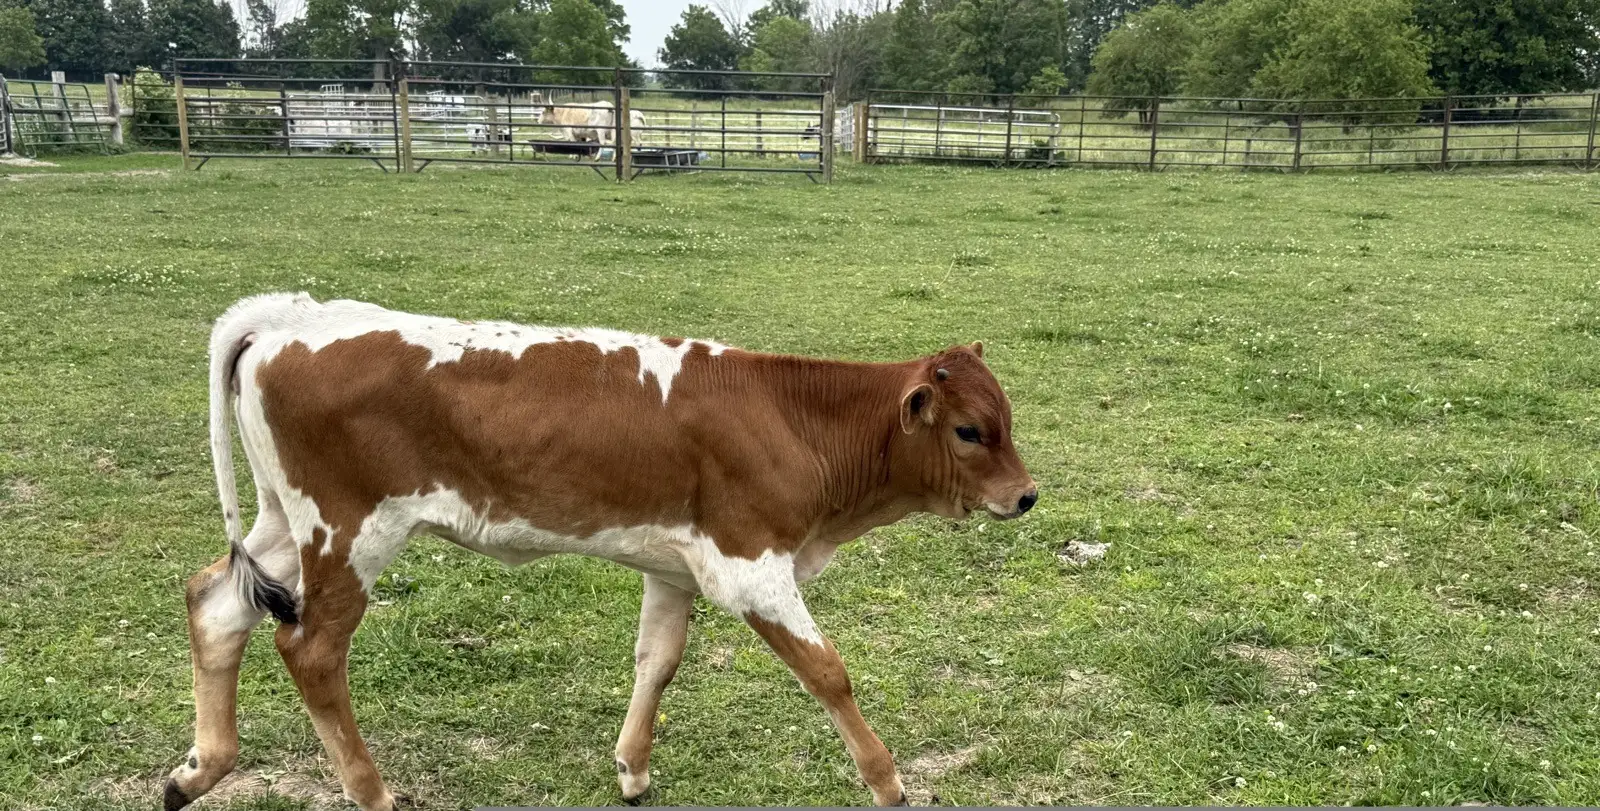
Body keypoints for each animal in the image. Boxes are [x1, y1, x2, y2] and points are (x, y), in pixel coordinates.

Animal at [164, 293, 1037, 811]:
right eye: (970, 430)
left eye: (1007, 419)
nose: (1026, 495)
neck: (789, 415)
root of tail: (290, 314)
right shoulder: (750, 565)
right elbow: (829, 672)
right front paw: (887, 779)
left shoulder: (673, 565)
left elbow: (658, 659)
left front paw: (632, 767)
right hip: (350, 530)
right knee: (310, 648)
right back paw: (371, 792)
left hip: (283, 523)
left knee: (215, 602)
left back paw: (200, 768)